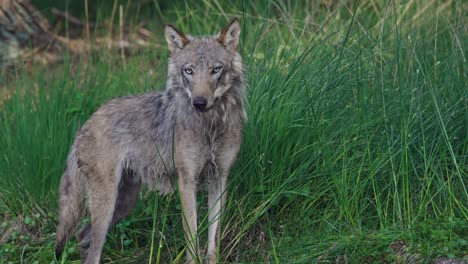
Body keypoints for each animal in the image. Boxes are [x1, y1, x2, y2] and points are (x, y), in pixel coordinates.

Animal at [54, 18, 245, 264]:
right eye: (189, 71)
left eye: (215, 69)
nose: (199, 102)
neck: (210, 126)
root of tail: (83, 127)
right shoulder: (187, 182)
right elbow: (192, 238)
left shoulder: (220, 177)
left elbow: (212, 241)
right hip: (107, 207)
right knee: (91, 249)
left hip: (123, 205)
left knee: (81, 236)